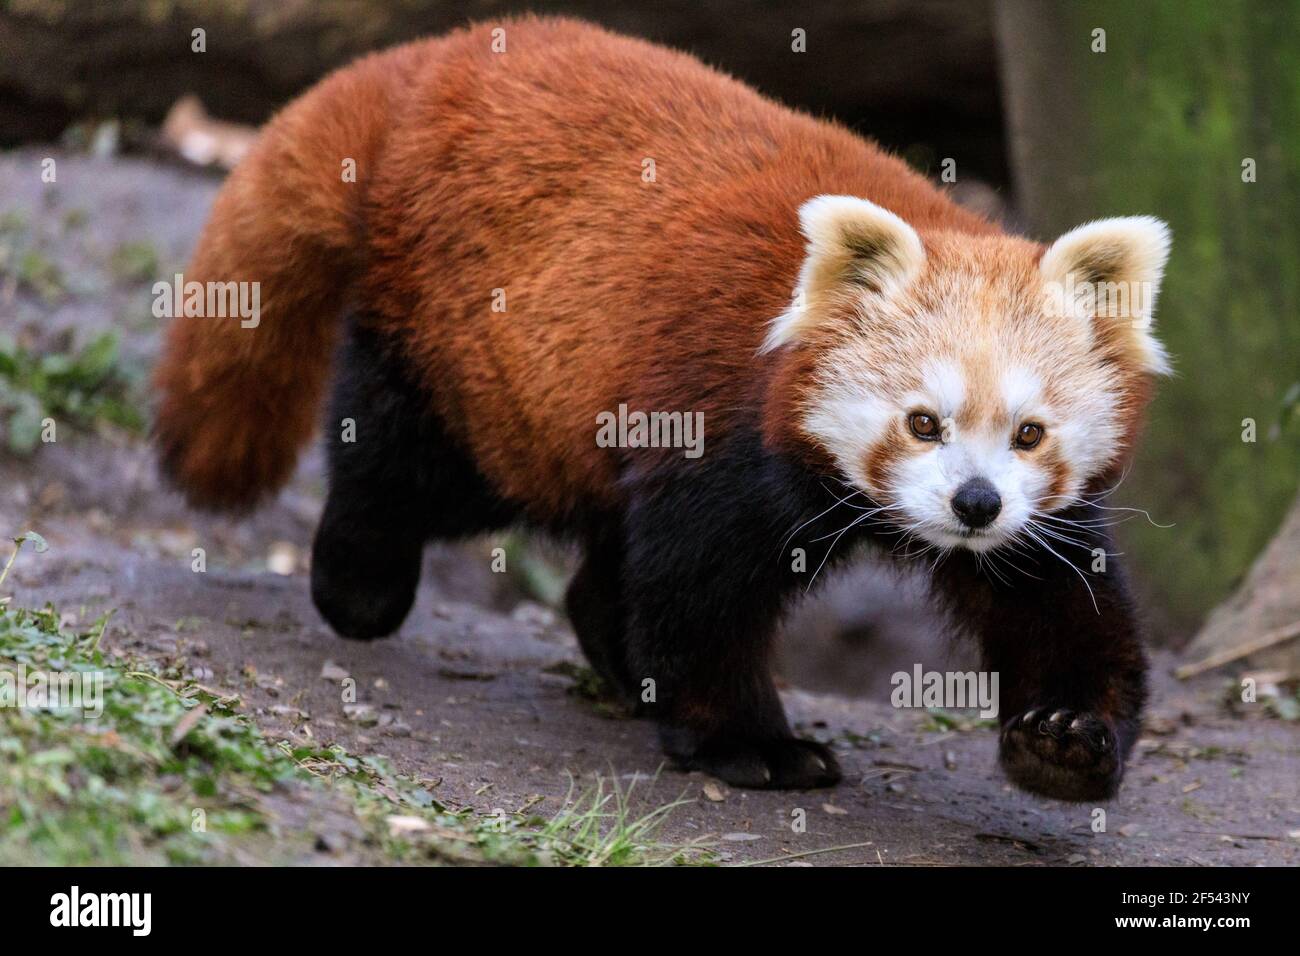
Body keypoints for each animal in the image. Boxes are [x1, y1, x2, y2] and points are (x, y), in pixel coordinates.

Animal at [152, 16, 1170, 801]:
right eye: (923, 421)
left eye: (1029, 434)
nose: (974, 504)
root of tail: (434, 60)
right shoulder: (719, 428)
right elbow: (699, 592)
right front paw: (750, 743)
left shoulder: (1039, 525)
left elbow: (1061, 605)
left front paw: (1065, 739)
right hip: (478, 349)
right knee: (415, 459)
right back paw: (359, 575)